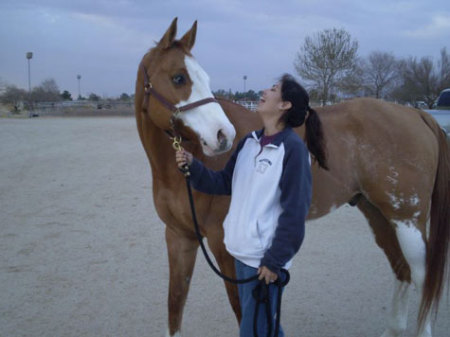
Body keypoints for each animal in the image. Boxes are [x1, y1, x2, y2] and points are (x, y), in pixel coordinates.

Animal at [135, 19, 448, 336]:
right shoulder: (179, 238)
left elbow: (242, 312)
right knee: (401, 267)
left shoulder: (224, 248)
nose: (223, 135)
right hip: (378, 213)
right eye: (178, 78)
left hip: (407, 218)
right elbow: (175, 304)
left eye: (203, 78)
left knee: (421, 277)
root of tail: (416, 114)